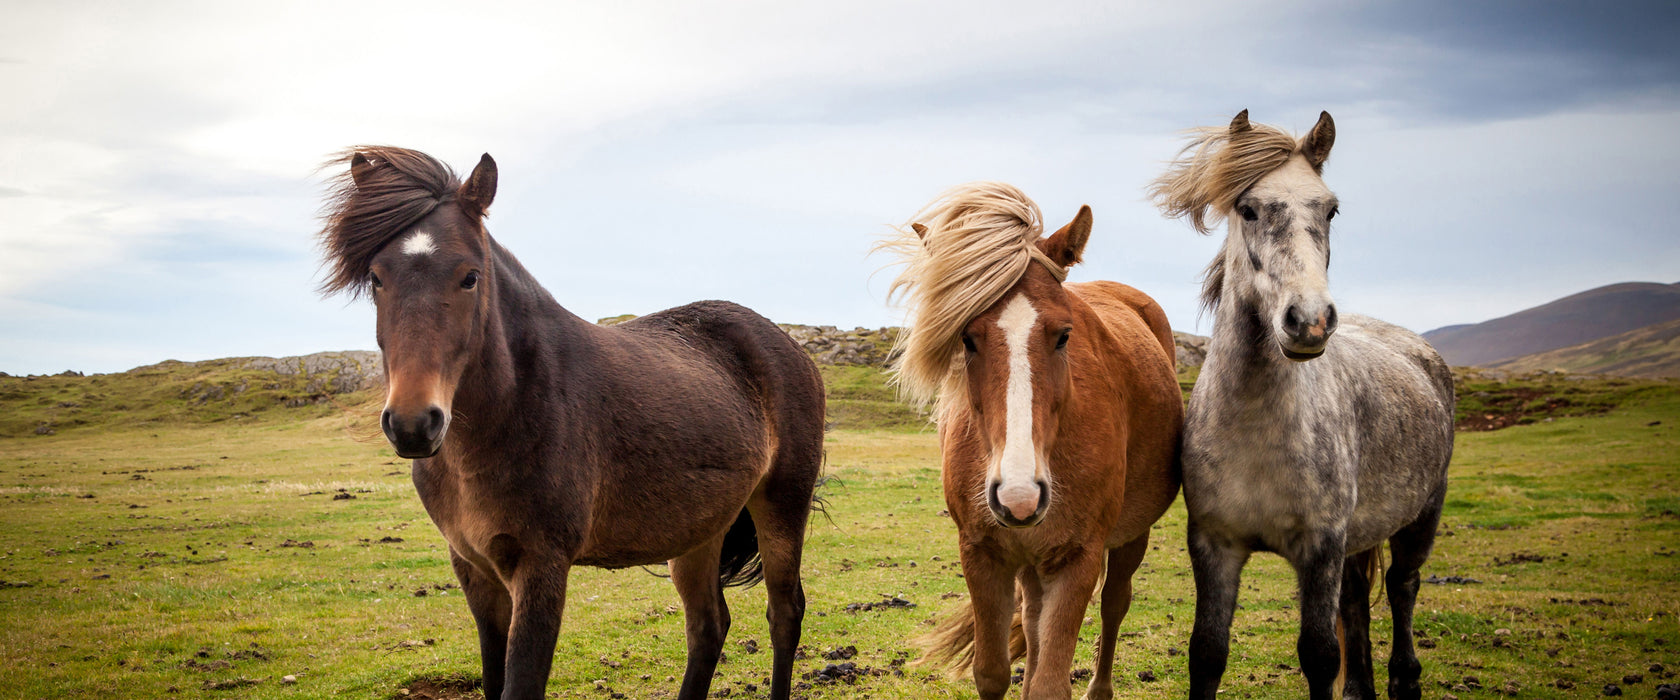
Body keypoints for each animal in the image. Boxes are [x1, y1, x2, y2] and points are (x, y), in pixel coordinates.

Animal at [315, 147, 826, 698]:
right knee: (708, 626)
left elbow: (521, 685)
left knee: (784, 614)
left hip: (781, 505)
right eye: (376, 277)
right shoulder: (475, 570)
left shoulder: (541, 567)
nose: (413, 424)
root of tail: (786, 344)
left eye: (470, 276)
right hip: (700, 531)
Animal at [887, 181, 1189, 698]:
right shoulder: (982, 554)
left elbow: (1052, 681)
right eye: (966, 337)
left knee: (1114, 604)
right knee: (1031, 618)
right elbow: (992, 672)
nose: (1019, 495)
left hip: (1130, 537)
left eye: (1064, 335)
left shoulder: (1077, 558)